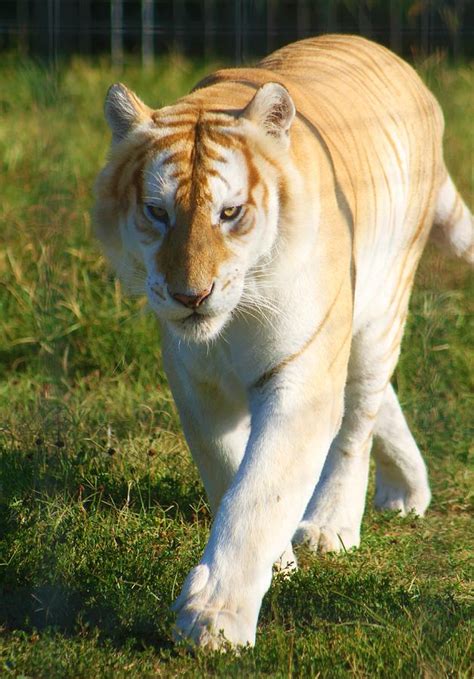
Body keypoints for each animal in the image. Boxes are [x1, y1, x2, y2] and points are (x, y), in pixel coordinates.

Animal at [93, 35, 474, 648]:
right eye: (156, 212)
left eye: (229, 213)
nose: (190, 296)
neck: (231, 321)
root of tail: (401, 64)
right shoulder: (195, 381)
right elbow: (229, 472)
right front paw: (273, 566)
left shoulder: (301, 373)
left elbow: (260, 491)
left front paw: (214, 621)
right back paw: (407, 491)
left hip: (380, 309)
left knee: (358, 419)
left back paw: (332, 524)